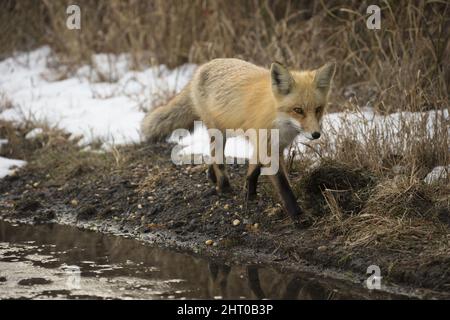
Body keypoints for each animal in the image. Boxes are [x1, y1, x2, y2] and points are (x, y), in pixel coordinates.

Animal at [142, 59, 336, 225]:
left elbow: (253, 170)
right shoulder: (267, 146)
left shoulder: (272, 145)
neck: (278, 119)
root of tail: (202, 67)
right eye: (298, 110)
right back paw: (224, 187)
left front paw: (249, 193)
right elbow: (284, 187)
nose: (316, 134)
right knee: (218, 160)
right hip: (219, 133)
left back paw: (211, 175)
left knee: (212, 156)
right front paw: (298, 216)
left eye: (318, 109)